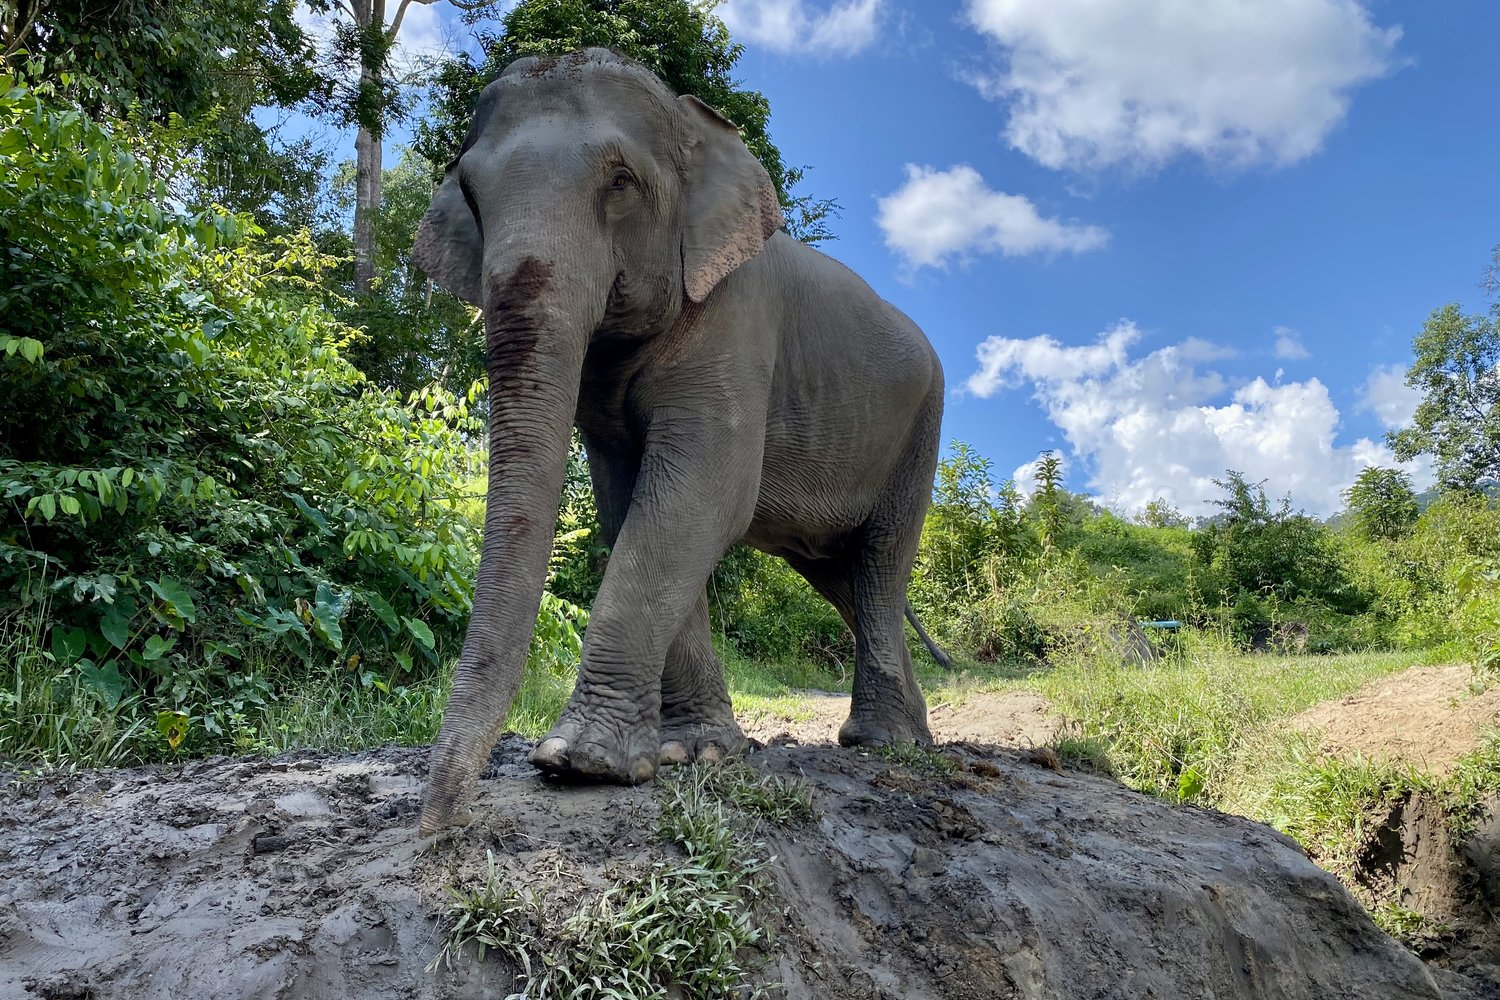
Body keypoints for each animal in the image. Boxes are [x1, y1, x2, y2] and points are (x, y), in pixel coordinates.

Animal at [413, 49, 948, 835]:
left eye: (621, 182)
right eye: (472, 196)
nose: (441, 821)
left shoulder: (736, 320)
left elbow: (700, 497)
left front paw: (579, 763)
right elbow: (628, 503)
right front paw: (695, 753)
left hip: (920, 427)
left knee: (881, 561)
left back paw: (883, 744)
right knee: (845, 577)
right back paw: (913, 736)